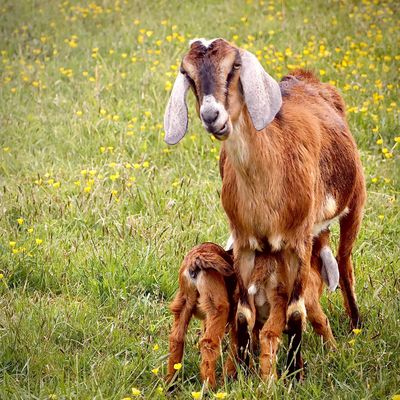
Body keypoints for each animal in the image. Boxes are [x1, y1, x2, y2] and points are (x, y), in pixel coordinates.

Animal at [164, 39, 368, 380]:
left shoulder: (298, 241)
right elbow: (244, 316)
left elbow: (295, 312)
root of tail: (304, 76)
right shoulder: (245, 244)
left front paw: (295, 374)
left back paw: (356, 325)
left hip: (356, 202)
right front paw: (243, 372)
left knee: (345, 262)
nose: (211, 115)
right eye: (188, 74)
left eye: (234, 67)